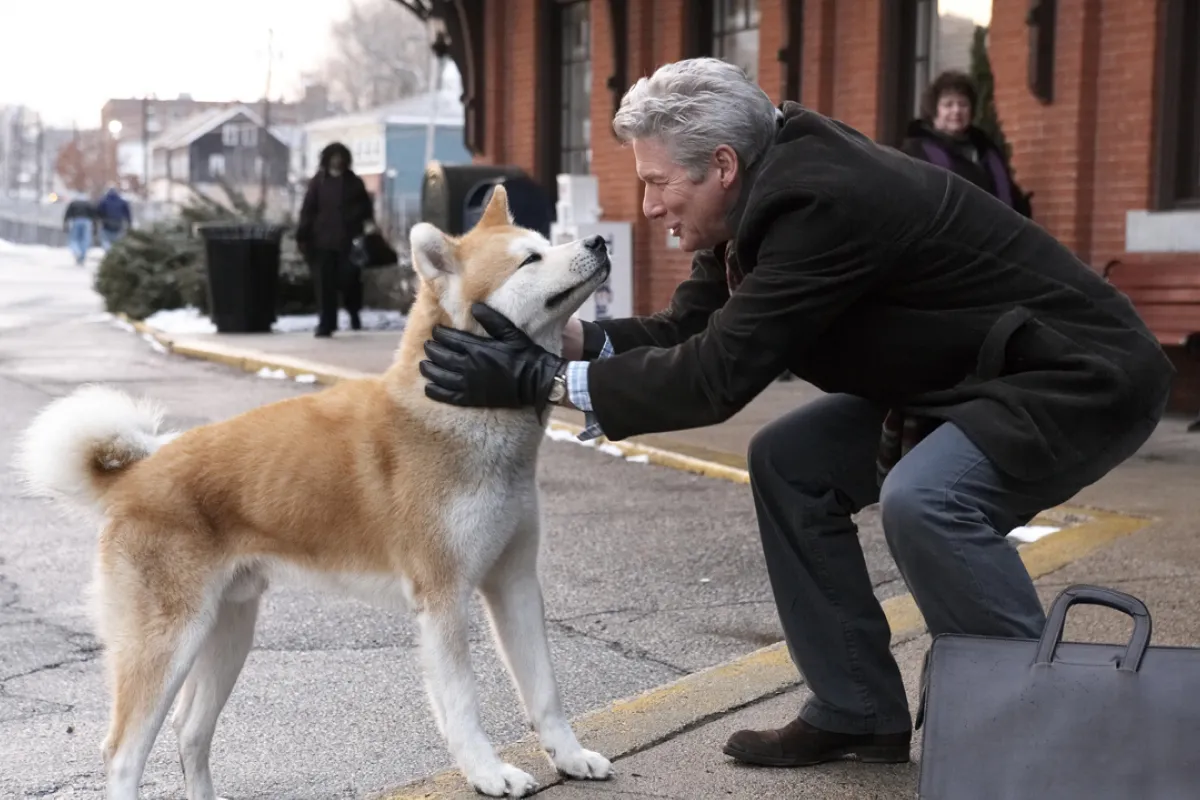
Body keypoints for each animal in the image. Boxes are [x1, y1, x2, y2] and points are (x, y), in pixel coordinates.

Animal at [17, 188, 614, 800]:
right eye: (529, 260)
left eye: (546, 243)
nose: (597, 240)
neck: (458, 413)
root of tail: (135, 476)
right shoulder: (444, 597)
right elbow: (464, 705)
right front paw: (489, 773)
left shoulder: (514, 581)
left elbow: (545, 691)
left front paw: (569, 756)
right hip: (167, 643)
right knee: (122, 754)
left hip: (228, 631)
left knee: (190, 732)